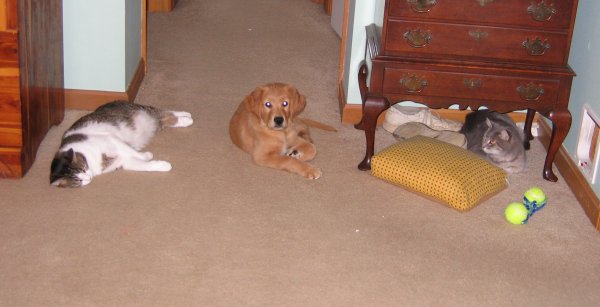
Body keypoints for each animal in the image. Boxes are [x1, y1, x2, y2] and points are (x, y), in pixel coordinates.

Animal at [51, 101, 195, 188]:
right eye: (77, 181)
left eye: (82, 168)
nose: (88, 177)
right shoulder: (123, 161)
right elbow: (144, 165)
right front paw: (163, 165)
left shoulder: (111, 139)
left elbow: (134, 152)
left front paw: (147, 155)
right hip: (155, 122)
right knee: (165, 118)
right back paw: (186, 118)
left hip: (143, 110)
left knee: (164, 112)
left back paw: (187, 117)